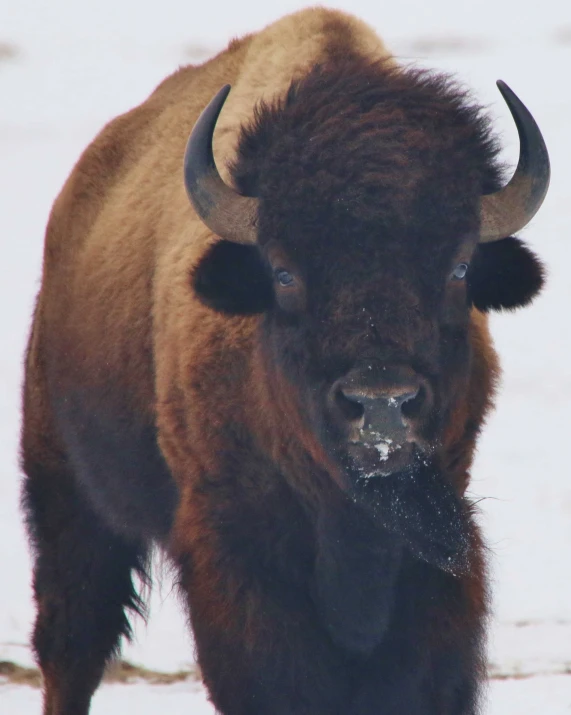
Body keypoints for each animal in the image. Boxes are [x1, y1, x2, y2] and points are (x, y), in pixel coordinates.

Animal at [21, 7, 548, 715]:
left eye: (460, 267)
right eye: (283, 272)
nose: (381, 404)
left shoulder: (442, 548)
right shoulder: (241, 558)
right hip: (66, 494)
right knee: (71, 644)